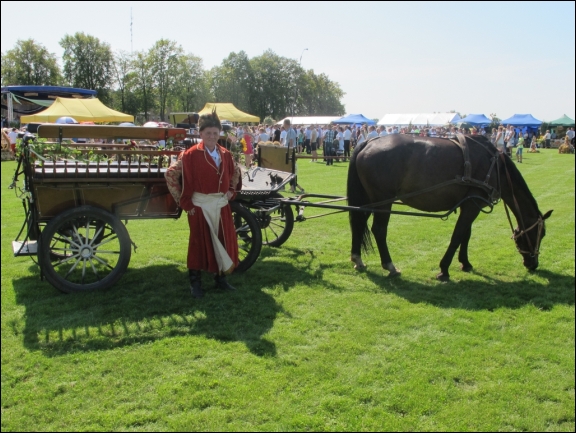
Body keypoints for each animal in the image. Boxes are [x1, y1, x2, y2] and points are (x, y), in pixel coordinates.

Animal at [346, 132, 552, 280]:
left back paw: (357, 259)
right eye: (540, 234)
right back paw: (389, 265)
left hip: (369, 200)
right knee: (379, 230)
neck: (495, 167)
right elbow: (458, 235)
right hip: (384, 201)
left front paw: (465, 263)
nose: (533, 264)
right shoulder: (473, 205)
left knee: (358, 223)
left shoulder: (469, 204)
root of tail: (368, 142)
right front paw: (444, 269)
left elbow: (466, 234)